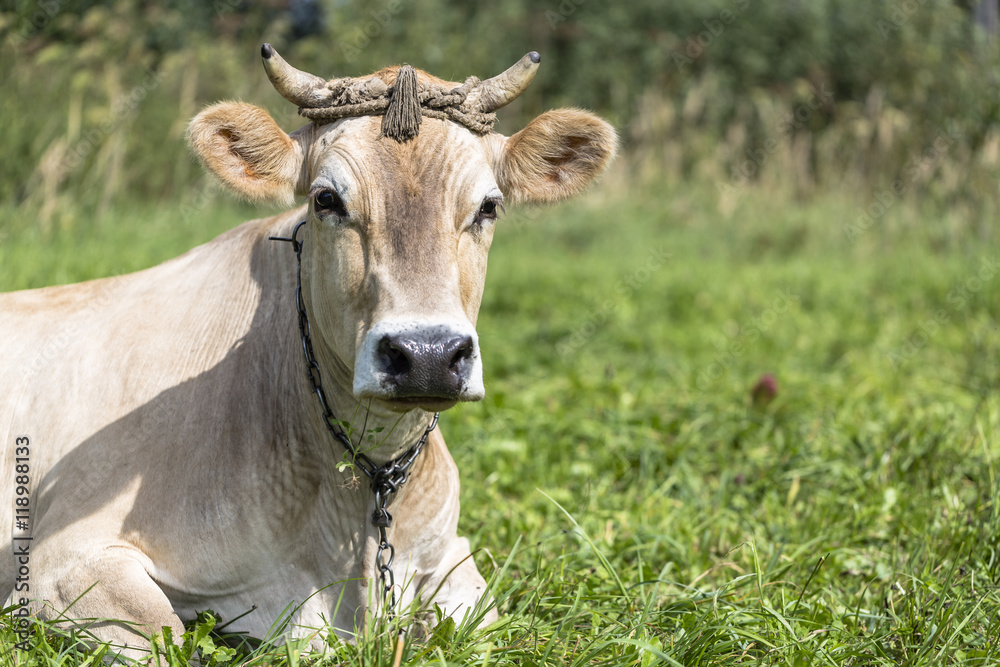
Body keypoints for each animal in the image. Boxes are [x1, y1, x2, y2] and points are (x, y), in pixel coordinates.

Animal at [0, 45, 616, 656]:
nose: (427, 354)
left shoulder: (450, 555)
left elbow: (478, 623)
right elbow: (166, 638)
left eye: (489, 206)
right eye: (326, 199)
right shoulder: (64, 563)